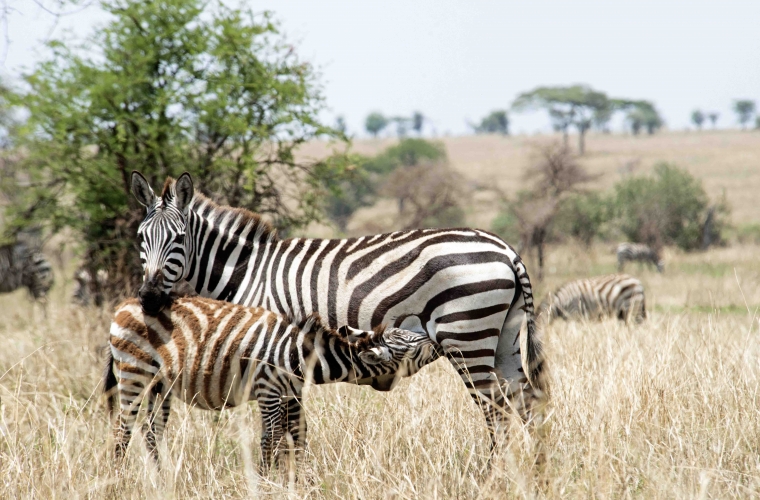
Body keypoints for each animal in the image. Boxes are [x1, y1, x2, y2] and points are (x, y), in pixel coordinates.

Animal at [104, 294, 442, 470]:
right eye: (409, 343)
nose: (438, 339)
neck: (301, 355)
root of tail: (124, 304)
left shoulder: (290, 393)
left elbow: (296, 437)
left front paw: (295, 478)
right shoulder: (268, 390)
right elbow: (270, 438)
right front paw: (268, 480)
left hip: (160, 384)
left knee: (152, 432)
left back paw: (159, 477)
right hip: (134, 373)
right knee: (122, 429)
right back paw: (120, 477)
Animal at [127, 172, 548, 446]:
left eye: (179, 239)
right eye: (141, 238)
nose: (148, 298)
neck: (249, 271)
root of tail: (506, 249)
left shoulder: (275, 355)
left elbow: (288, 430)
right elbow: (296, 430)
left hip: (467, 338)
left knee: (495, 413)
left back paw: (491, 478)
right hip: (505, 337)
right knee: (526, 403)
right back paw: (534, 474)